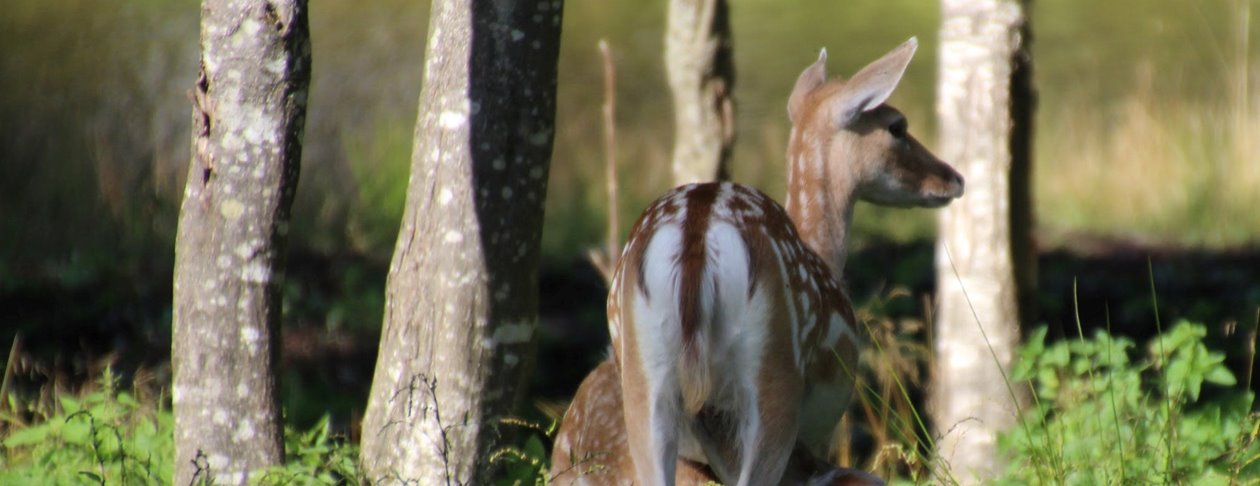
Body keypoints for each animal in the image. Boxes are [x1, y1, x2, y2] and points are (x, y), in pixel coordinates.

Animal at [599, 38, 962, 486]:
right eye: (897, 126)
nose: (953, 177)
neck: (823, 252)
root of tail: (696, 231)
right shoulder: (816, 428)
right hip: (772, 377)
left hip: (645, 380)